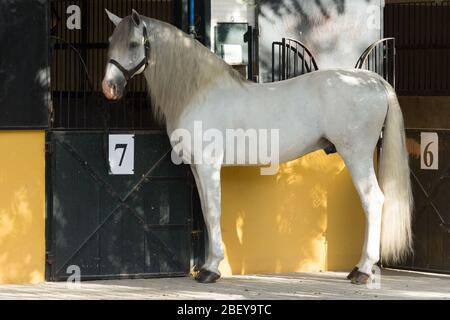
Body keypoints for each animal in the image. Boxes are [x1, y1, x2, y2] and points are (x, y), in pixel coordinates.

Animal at [103, 10, 414, 284]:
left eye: (133, 44)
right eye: (110, 42)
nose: (109, 88)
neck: (199, 92)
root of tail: (374, 80)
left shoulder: (208, 164)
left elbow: (213, 212)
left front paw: (210, 270)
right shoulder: (196, 167)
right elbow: (205, 210)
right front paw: (208, 265)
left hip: (356, 154)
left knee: (373, 200)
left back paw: (362, 271)